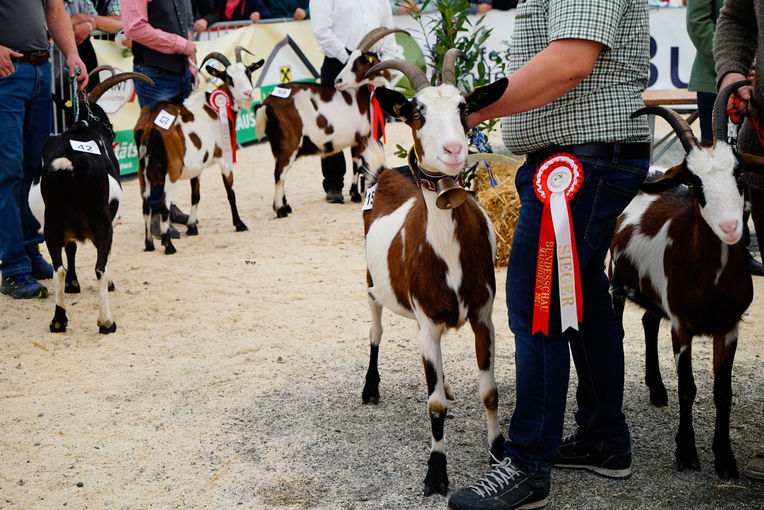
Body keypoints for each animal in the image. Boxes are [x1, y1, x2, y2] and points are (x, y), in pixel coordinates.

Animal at [29, 71, 154, 334]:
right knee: (99, 268)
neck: (84, 127)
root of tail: (71, 164)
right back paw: (106, 322)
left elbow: (71, 249)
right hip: (101, 222)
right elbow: (102, 260)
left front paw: (73, 284)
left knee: (58, 269)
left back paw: (59, 320)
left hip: (51, 225)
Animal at [137, 47, 266, 253]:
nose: (248, 93)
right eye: (229, 78)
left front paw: (192, 227)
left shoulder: (195, 167)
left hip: (144, 173)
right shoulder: (225, 159)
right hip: (171, 172)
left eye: (248, 72)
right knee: (164, 205)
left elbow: (195, 195)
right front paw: (239, 224)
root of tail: (150, 126)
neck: (215, 108)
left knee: (146, 205)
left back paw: (149, 244)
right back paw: (168, 244)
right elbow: (230, 192)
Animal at [608, 81, 764, 480]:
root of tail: (655, 171)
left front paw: (725, 459)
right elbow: (689, 387)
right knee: (621, 328)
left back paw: (656, 389)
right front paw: (686, 452)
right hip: (616, 280)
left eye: (739, 172)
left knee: (649, 321)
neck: (712, 279)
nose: (731, 227)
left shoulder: (728, 327)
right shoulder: (682, 325)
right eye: (694, 181)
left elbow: (722, 392)